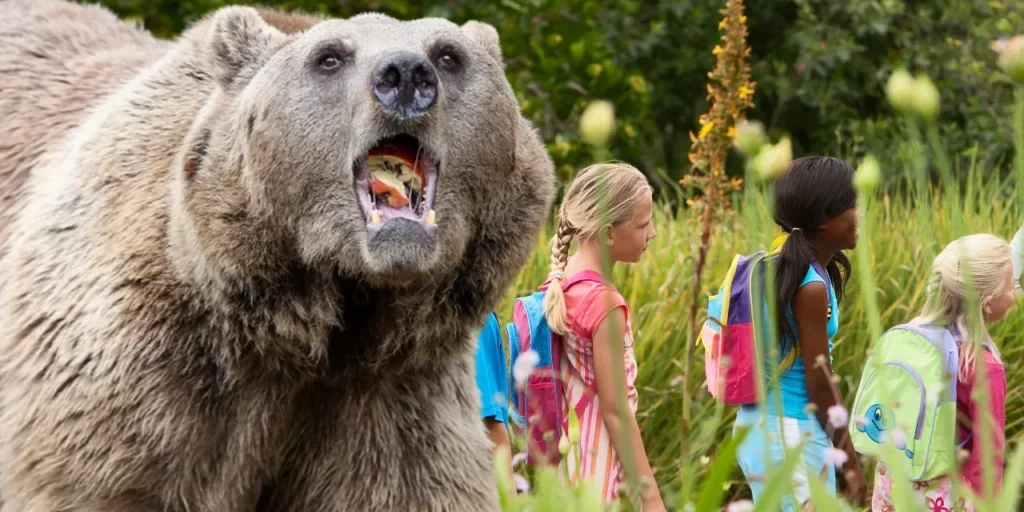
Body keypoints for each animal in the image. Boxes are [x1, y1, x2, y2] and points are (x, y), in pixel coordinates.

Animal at [0, 1, 556, 511]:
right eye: (329, 57)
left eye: (447, 54)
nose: (404, 75)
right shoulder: (146, 362)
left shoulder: (395, 390)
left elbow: (405, 485)